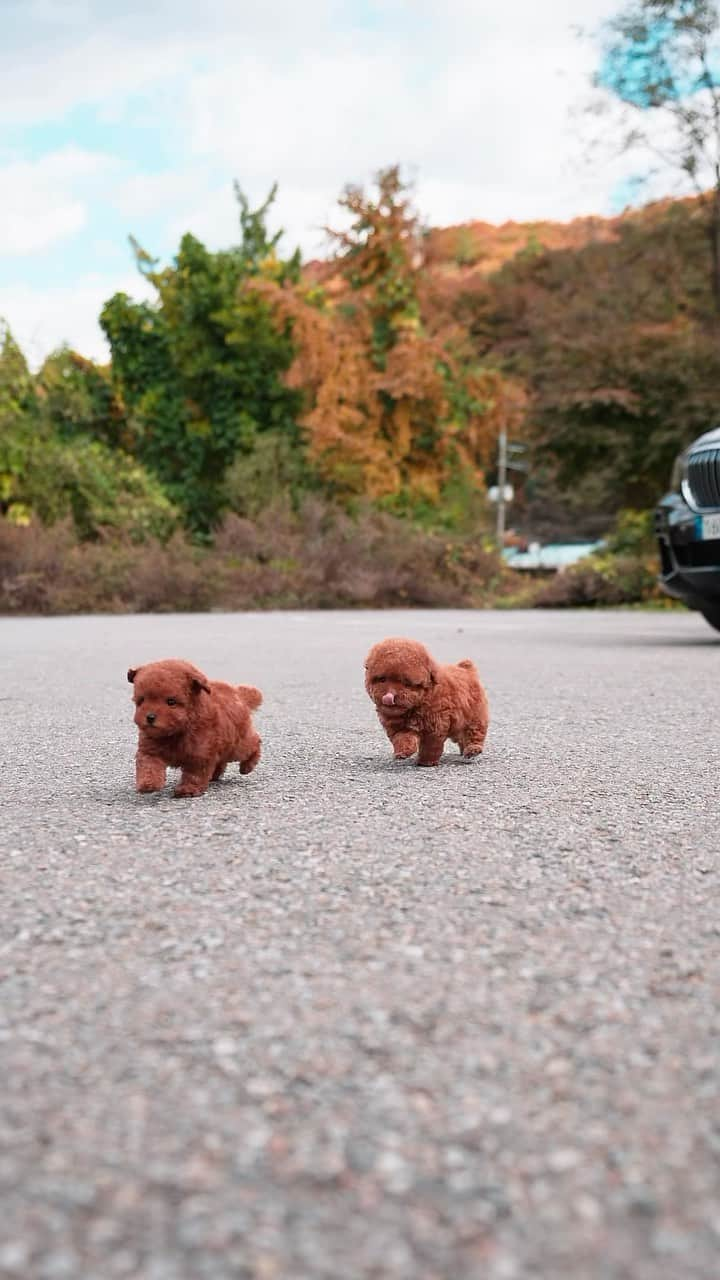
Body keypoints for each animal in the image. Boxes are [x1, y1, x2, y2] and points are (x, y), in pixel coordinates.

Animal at [127, 660, 262, 798]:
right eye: (141, 700)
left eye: (171, 701)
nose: (150, 717)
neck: (175, 731)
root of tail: (237, 693)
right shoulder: (150, 749)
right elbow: (148, 765)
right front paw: (148, 783)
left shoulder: (200, 753)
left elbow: (195, 774)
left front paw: (188, 789)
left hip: (236, 745)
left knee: (253, 743)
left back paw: (247, 766)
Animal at [363, 634, 486, 762]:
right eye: (382, 680)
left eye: (406, 684)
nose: (388, 697)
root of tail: (466, 669)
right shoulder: (396, 726)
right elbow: (402, 738)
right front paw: (403, 752)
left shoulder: (435, 725)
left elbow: (430, 745)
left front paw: (426, 761)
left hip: (474, 714)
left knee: (474, 732)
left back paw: (473, 749)